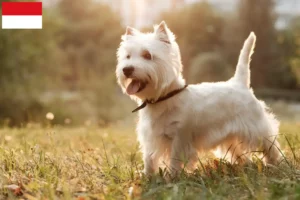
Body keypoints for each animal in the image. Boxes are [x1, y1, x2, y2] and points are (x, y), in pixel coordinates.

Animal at [116, 20, 282, 175]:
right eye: (128, 56)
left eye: (147, 55)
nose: (127, 69)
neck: (163, 98)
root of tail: (239, 82)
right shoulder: (151, 137)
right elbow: (149, 159)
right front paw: (147, 176)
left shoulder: (180, 137)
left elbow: (175, 159)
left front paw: (172, 177)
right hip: (231, 136)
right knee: (240, 153)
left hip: (257, 127)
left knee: (270, 145)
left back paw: (276, 164)